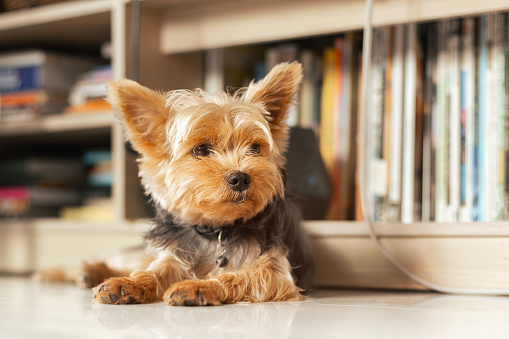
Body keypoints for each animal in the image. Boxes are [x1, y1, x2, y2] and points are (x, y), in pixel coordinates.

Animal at [66, 61, 314, 308]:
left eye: (254, 148)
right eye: (202, 150)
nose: (241, 178)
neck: (216, 232)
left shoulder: (274, 270)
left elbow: (235, 277)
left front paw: (199, 286)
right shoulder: (173, 254)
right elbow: (154, 271)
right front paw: (129, 283)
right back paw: (88, 271)